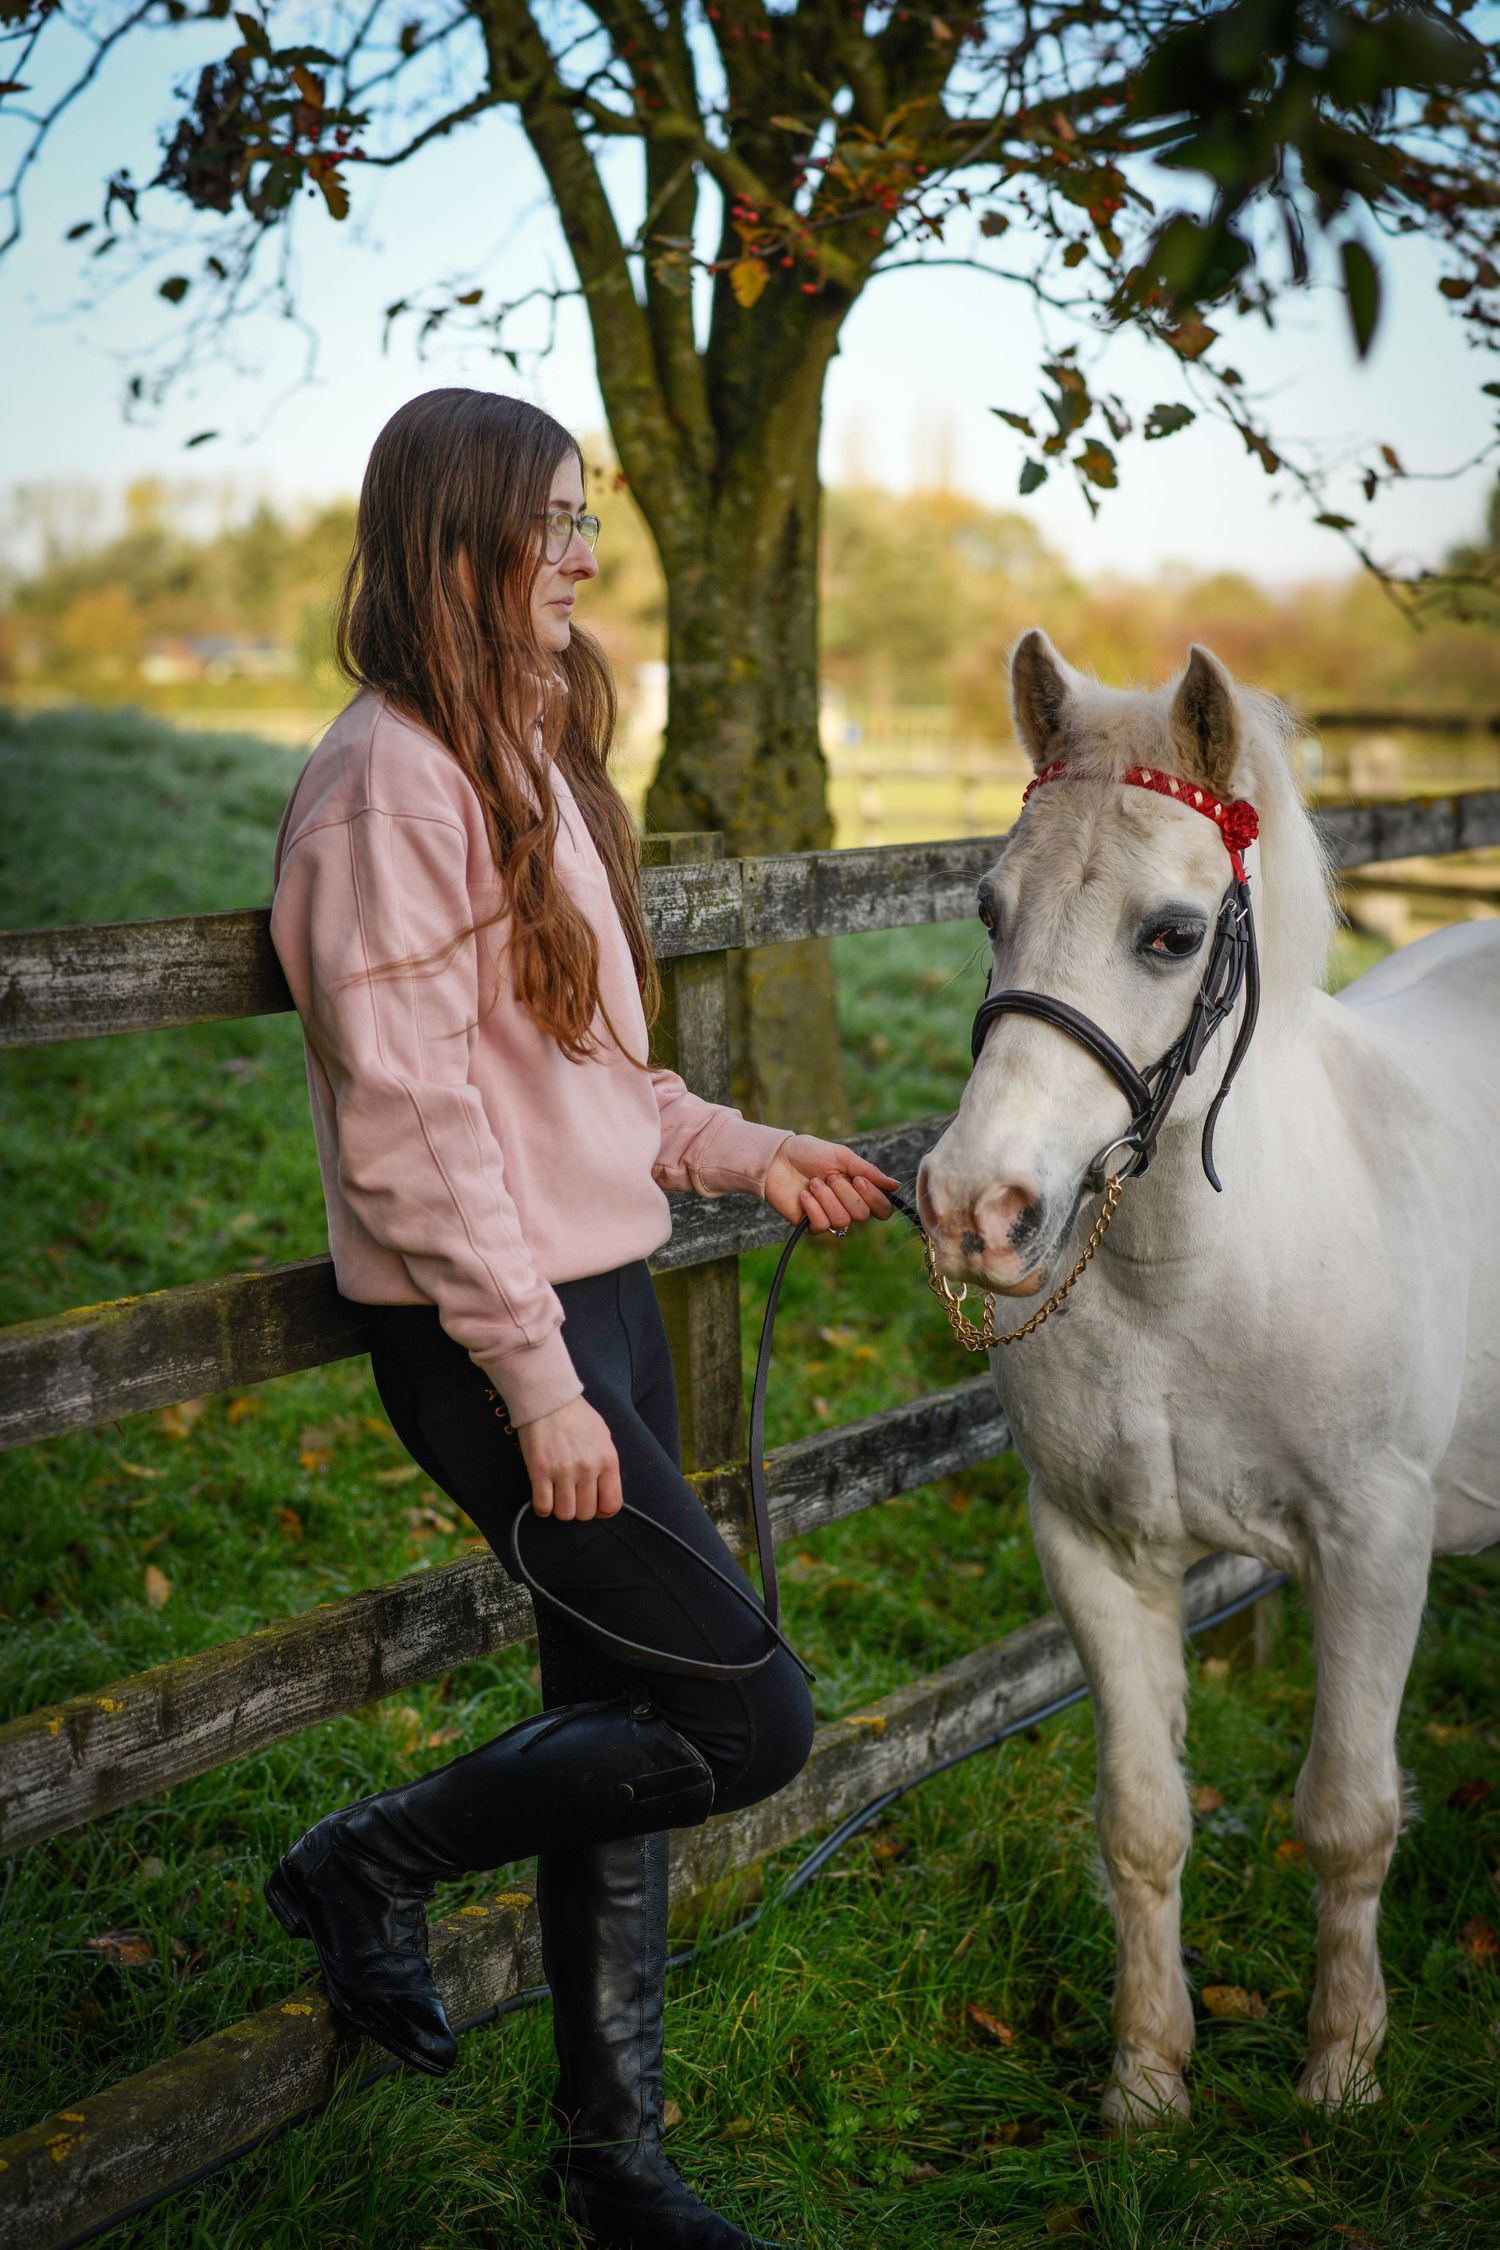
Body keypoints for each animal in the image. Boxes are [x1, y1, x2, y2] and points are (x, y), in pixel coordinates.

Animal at [916, 630, 1500, 2128]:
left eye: (1172, 935)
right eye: (989, 906)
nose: (974, 1208)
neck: (1188, 1284)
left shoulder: (1373, 1547)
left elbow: (1348, 1815)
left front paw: (1341, 2065)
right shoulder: (1095, 1552)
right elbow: (1142, 1821)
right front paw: (1146, 2078)